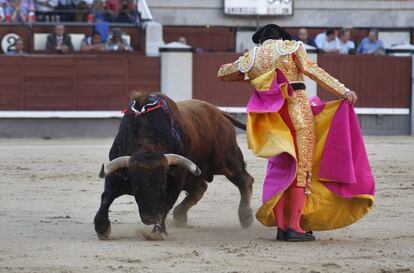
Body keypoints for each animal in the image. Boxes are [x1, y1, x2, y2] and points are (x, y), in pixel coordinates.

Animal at [95, 92, 254, 240]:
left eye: (163, 184)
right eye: (136, 185)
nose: (151, 218)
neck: (147, 144)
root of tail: (219, 112)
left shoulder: (176, 179)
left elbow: (167, 203)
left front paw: (158, 232)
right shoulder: (116, 174)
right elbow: (106, 197)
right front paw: (102, 228)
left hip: (226, 161)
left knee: (244, 180)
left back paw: (246, 217)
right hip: (196, 173)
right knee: (200, 188)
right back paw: (180, 215)